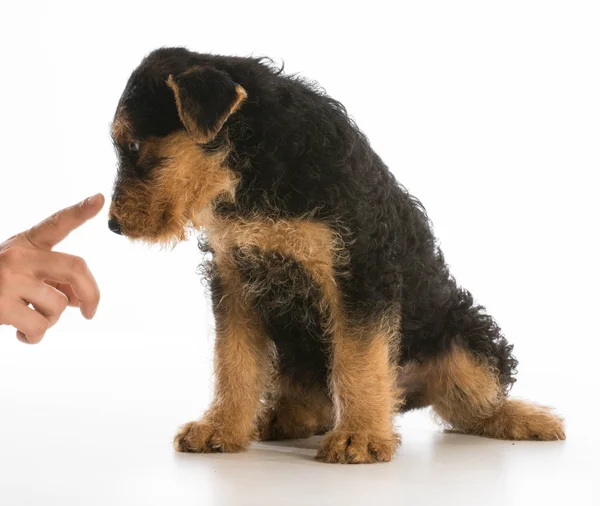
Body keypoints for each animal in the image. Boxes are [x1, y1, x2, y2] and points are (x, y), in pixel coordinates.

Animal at [110, 47, 564, 462]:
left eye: (131, 145)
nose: (113, 224)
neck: (259, 166)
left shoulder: (358, 271)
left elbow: (358, 361)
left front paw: (359, 437)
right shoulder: (235, 276)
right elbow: (233, 360)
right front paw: (221, 428)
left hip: (463, 338)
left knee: (472, 405)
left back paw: (529, 420)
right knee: (317, 400)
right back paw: (279, 417)